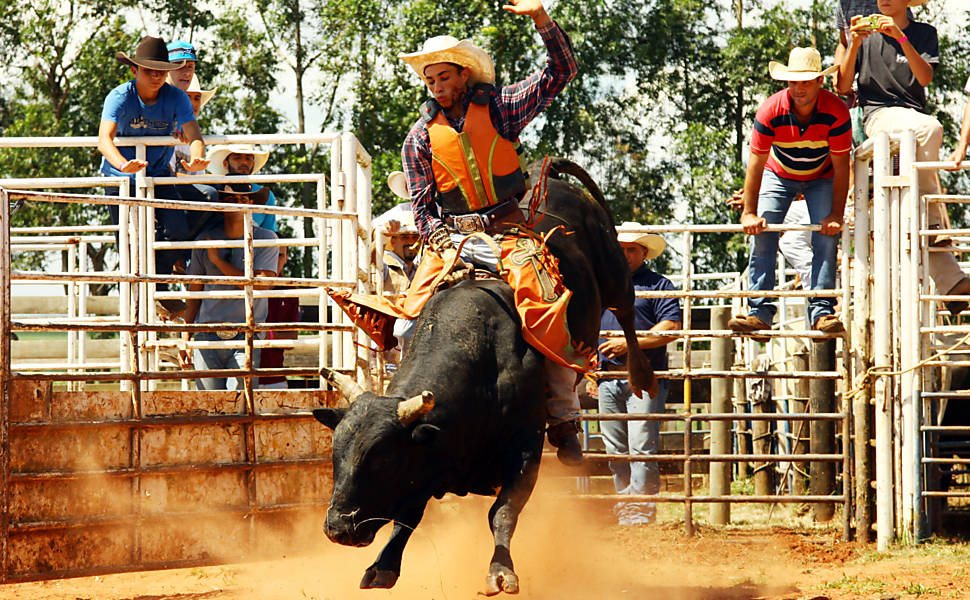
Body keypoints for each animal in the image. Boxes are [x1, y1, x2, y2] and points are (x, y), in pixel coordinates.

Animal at [314, 159, 656, 596]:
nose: (338, 527)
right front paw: (383, 566)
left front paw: (500, 570)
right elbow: (408, 516)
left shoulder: (525, 451)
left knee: (627, 311)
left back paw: (638, 378)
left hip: (613, 269)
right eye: (336, 453)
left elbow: (502, 512)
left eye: (383, 458)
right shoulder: (428, 462)